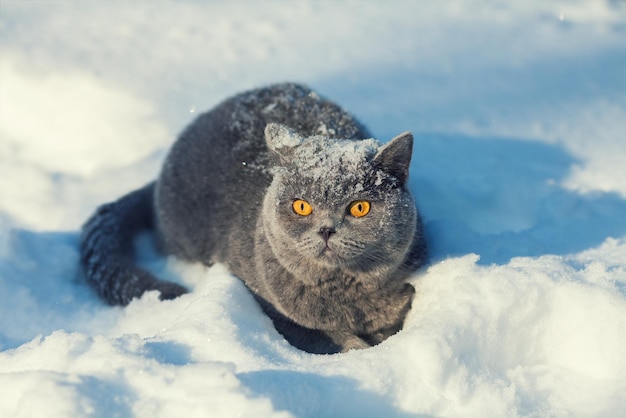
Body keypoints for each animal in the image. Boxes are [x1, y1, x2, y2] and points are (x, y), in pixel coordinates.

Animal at [80, 83, 426, 354]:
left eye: (359, 208)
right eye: (302, 207)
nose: (327, 230)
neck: (346, 295)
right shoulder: (274, 308)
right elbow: (326, 338)